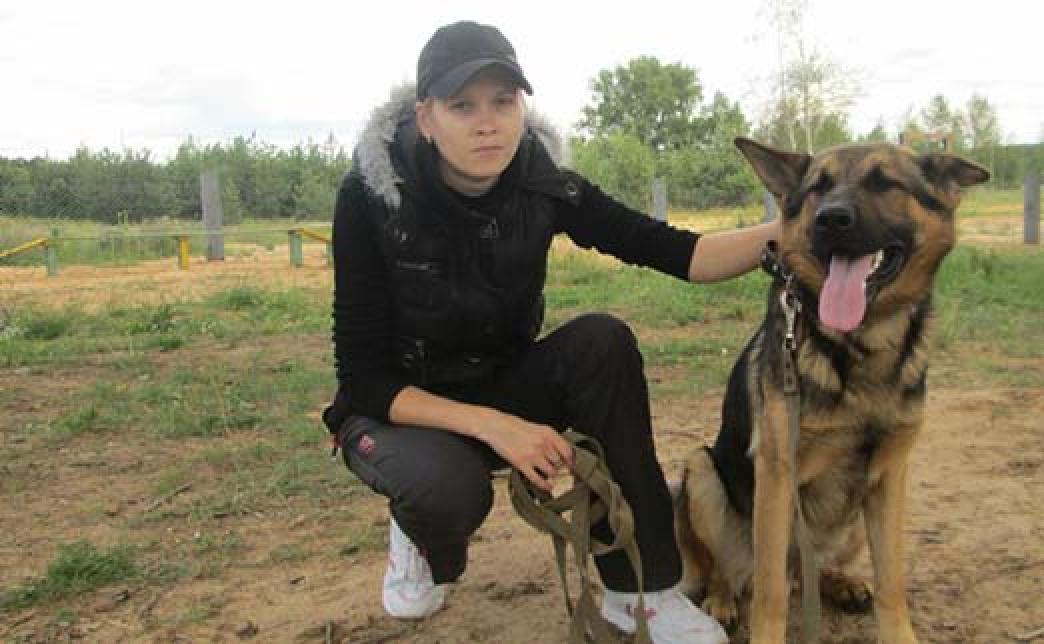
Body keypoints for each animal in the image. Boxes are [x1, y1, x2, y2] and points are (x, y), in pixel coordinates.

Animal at [674, 138, 989, 643]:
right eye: (818, 188)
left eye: (883, 182)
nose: (830, 219)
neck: (864, 343)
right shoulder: (777, 471)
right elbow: (769, 595)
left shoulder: (889, 475)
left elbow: (891, 581)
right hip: (701, 470)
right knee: (733, 571)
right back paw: (722, 601)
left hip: (853, 517)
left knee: (813, 572)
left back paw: (839, 583)